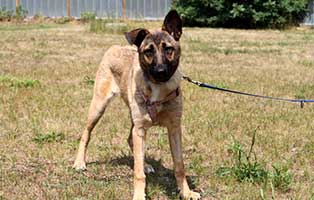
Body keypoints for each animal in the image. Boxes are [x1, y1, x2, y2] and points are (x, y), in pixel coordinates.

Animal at [73, 10, 201, 200]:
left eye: (168, 49)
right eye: (148, 51)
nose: (160, 72)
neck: (158, 89)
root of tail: (115, 47)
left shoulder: (174, 128)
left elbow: (179, 165)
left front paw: (186, 192)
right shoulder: (140, 129)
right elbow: (138, 172)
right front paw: (139, 195)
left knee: (130, 140)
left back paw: (146, 164)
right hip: (98, 106)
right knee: (86, 133)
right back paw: (79, 162)